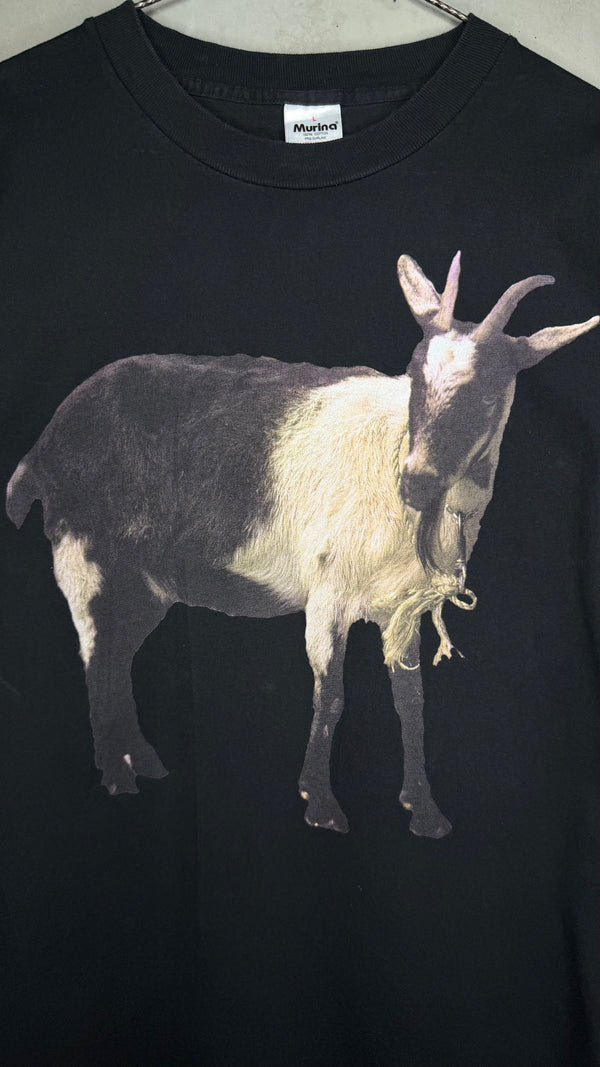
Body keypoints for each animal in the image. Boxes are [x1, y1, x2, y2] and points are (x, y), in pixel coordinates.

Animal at [6, 252, 598, 836]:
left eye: (490, 391)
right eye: (414, 375)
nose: (416, 483)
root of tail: (42, 449)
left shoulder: (400, 607)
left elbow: (411, 703)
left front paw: (425, 811)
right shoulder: (328, 594)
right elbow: (330, 696)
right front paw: (321, 804)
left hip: (145, 584)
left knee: (117, 654)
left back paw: (142, 763)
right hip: (84, 557)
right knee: (97, 657)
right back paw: (117, 776)